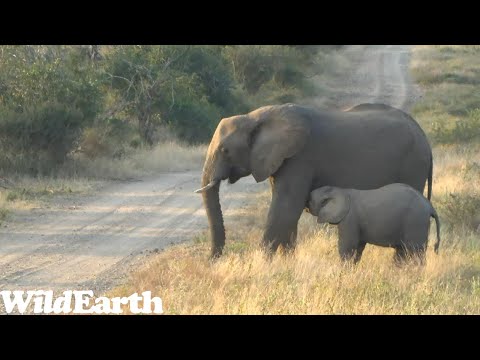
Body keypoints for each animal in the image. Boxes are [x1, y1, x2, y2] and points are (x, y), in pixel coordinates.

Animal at [193, 102, 434, 258]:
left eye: (225, 151)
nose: (213, 261)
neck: (254, 117)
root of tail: (425, 138)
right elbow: (288, 213)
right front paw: (286, 264)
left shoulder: (300, 158)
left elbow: (285, 208)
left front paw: (262, 265)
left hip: (412, 165)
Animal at [310, 183, 440, 264]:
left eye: (310, 200)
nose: (306, 202)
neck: (340, 190)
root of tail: (430, 206)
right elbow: (359, 247)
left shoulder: (349, 218)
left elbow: (347, 246)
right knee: (403, 252)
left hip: (416, 221)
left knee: (415, 253)